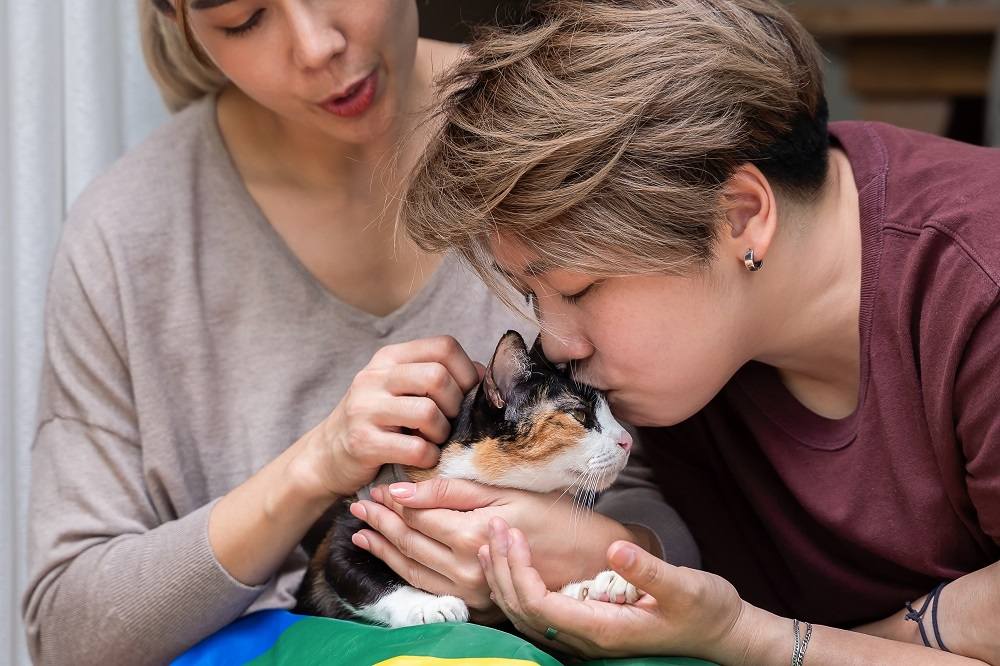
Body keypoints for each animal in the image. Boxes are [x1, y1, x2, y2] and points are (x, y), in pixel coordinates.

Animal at [296, 332, 636, 628]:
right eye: (579, 415)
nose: (627, 440)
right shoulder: (345, 536)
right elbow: (359, 577)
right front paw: (428, 605)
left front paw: (598, 586)